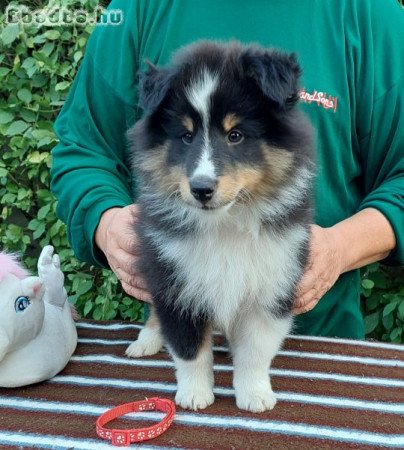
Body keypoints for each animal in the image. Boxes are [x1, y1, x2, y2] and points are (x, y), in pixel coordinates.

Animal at [124, 40, 314, 414]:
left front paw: (255, 394)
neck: (226, 222)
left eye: (235, 135)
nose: (201, 189)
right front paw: (195, 394)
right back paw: (147, 340)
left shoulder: (273, 280)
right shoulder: (176, 282)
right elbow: (189, 348)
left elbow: (255, 351)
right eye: (185, 136)